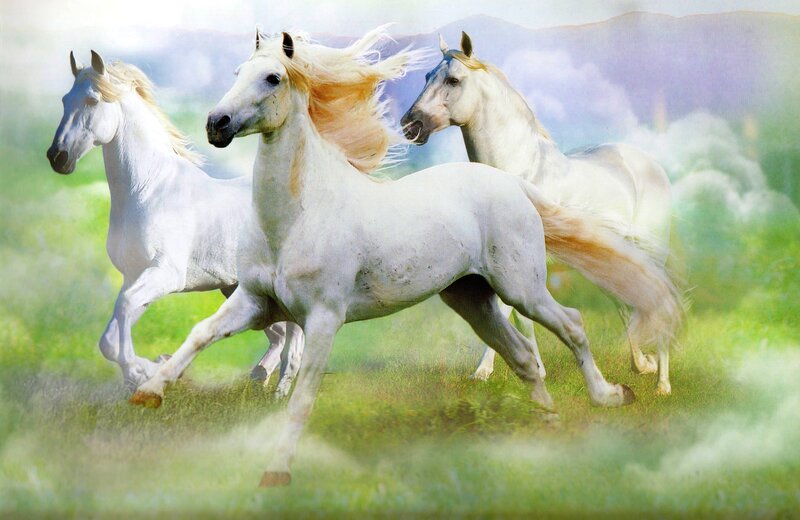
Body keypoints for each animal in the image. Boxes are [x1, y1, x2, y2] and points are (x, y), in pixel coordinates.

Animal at [46, 51, 304, 392]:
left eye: (91, 100)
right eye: (65, 100)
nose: (57, 158)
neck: (149, 190)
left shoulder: (165, 274)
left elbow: (124, 308)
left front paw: (144, 372)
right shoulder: (136, 276)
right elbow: (111, 338)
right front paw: (152, 368)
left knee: (294, 343)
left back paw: (280, 394)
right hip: (239, 289)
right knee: (277, 335)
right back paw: (260, 376)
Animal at [401, 32, 678, 395]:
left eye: (453, 80)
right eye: (425, 76)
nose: (410, 125)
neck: (520, 171)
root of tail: (649, 163)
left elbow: (511, 311)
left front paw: (487, 372)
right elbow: (517, 314)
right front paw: (531, 368)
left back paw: (662, 384)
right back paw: (643, 365)